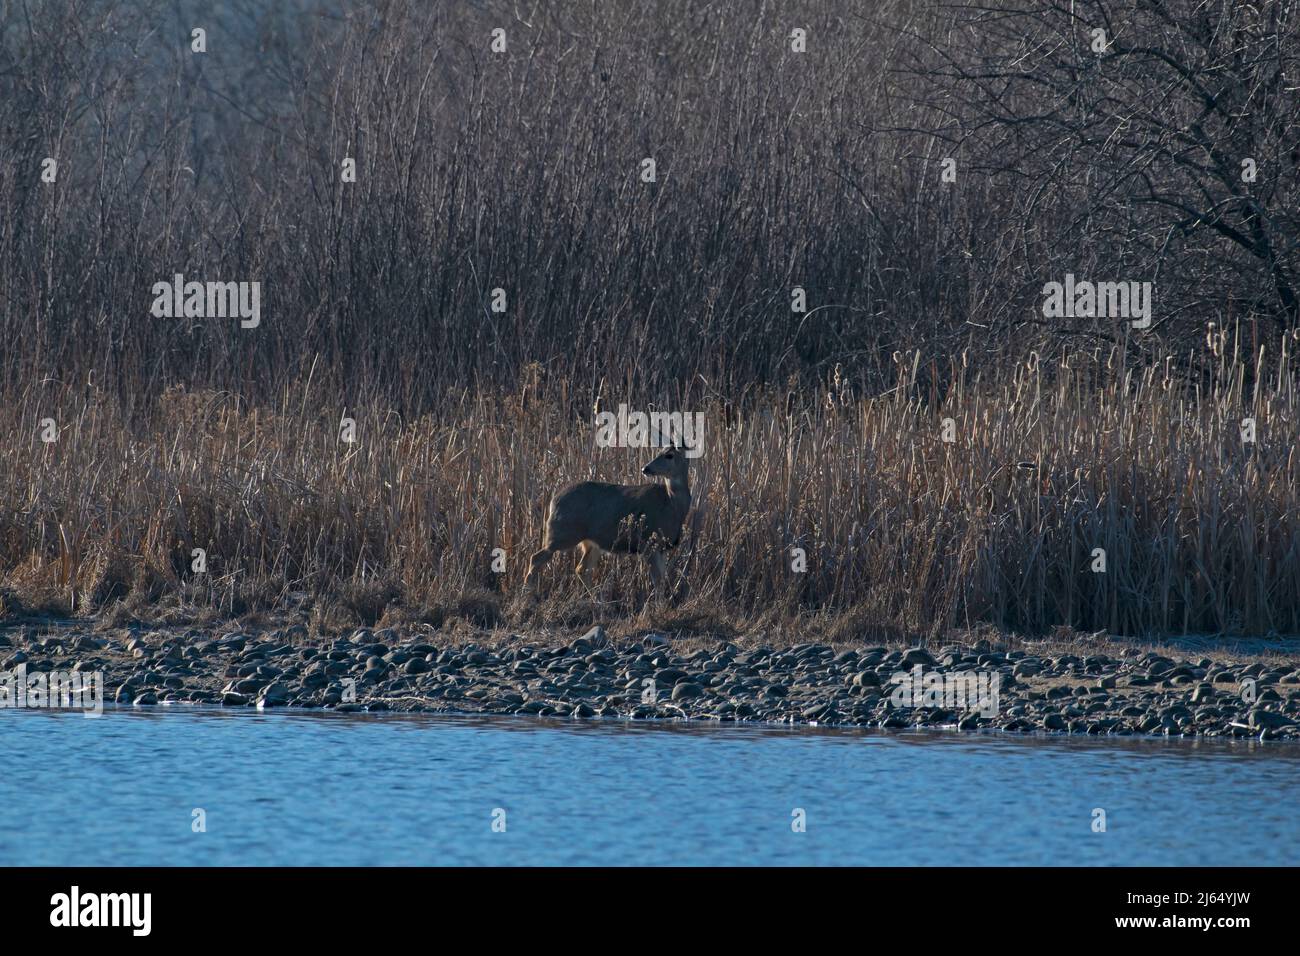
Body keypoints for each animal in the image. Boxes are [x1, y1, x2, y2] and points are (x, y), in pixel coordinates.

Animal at [524, 445, 693, 600]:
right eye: (659, 452)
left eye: (669, 455)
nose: (646, 468)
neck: (671, 504)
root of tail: (553, 501)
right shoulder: (648, 543)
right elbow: (657, 580)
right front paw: (658, 606)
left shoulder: (662, 547)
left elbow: (663, 579)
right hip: (562, 533)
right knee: (536, 558)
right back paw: (527, 597)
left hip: (591, 542)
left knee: (582, 569)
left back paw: (597, 601)